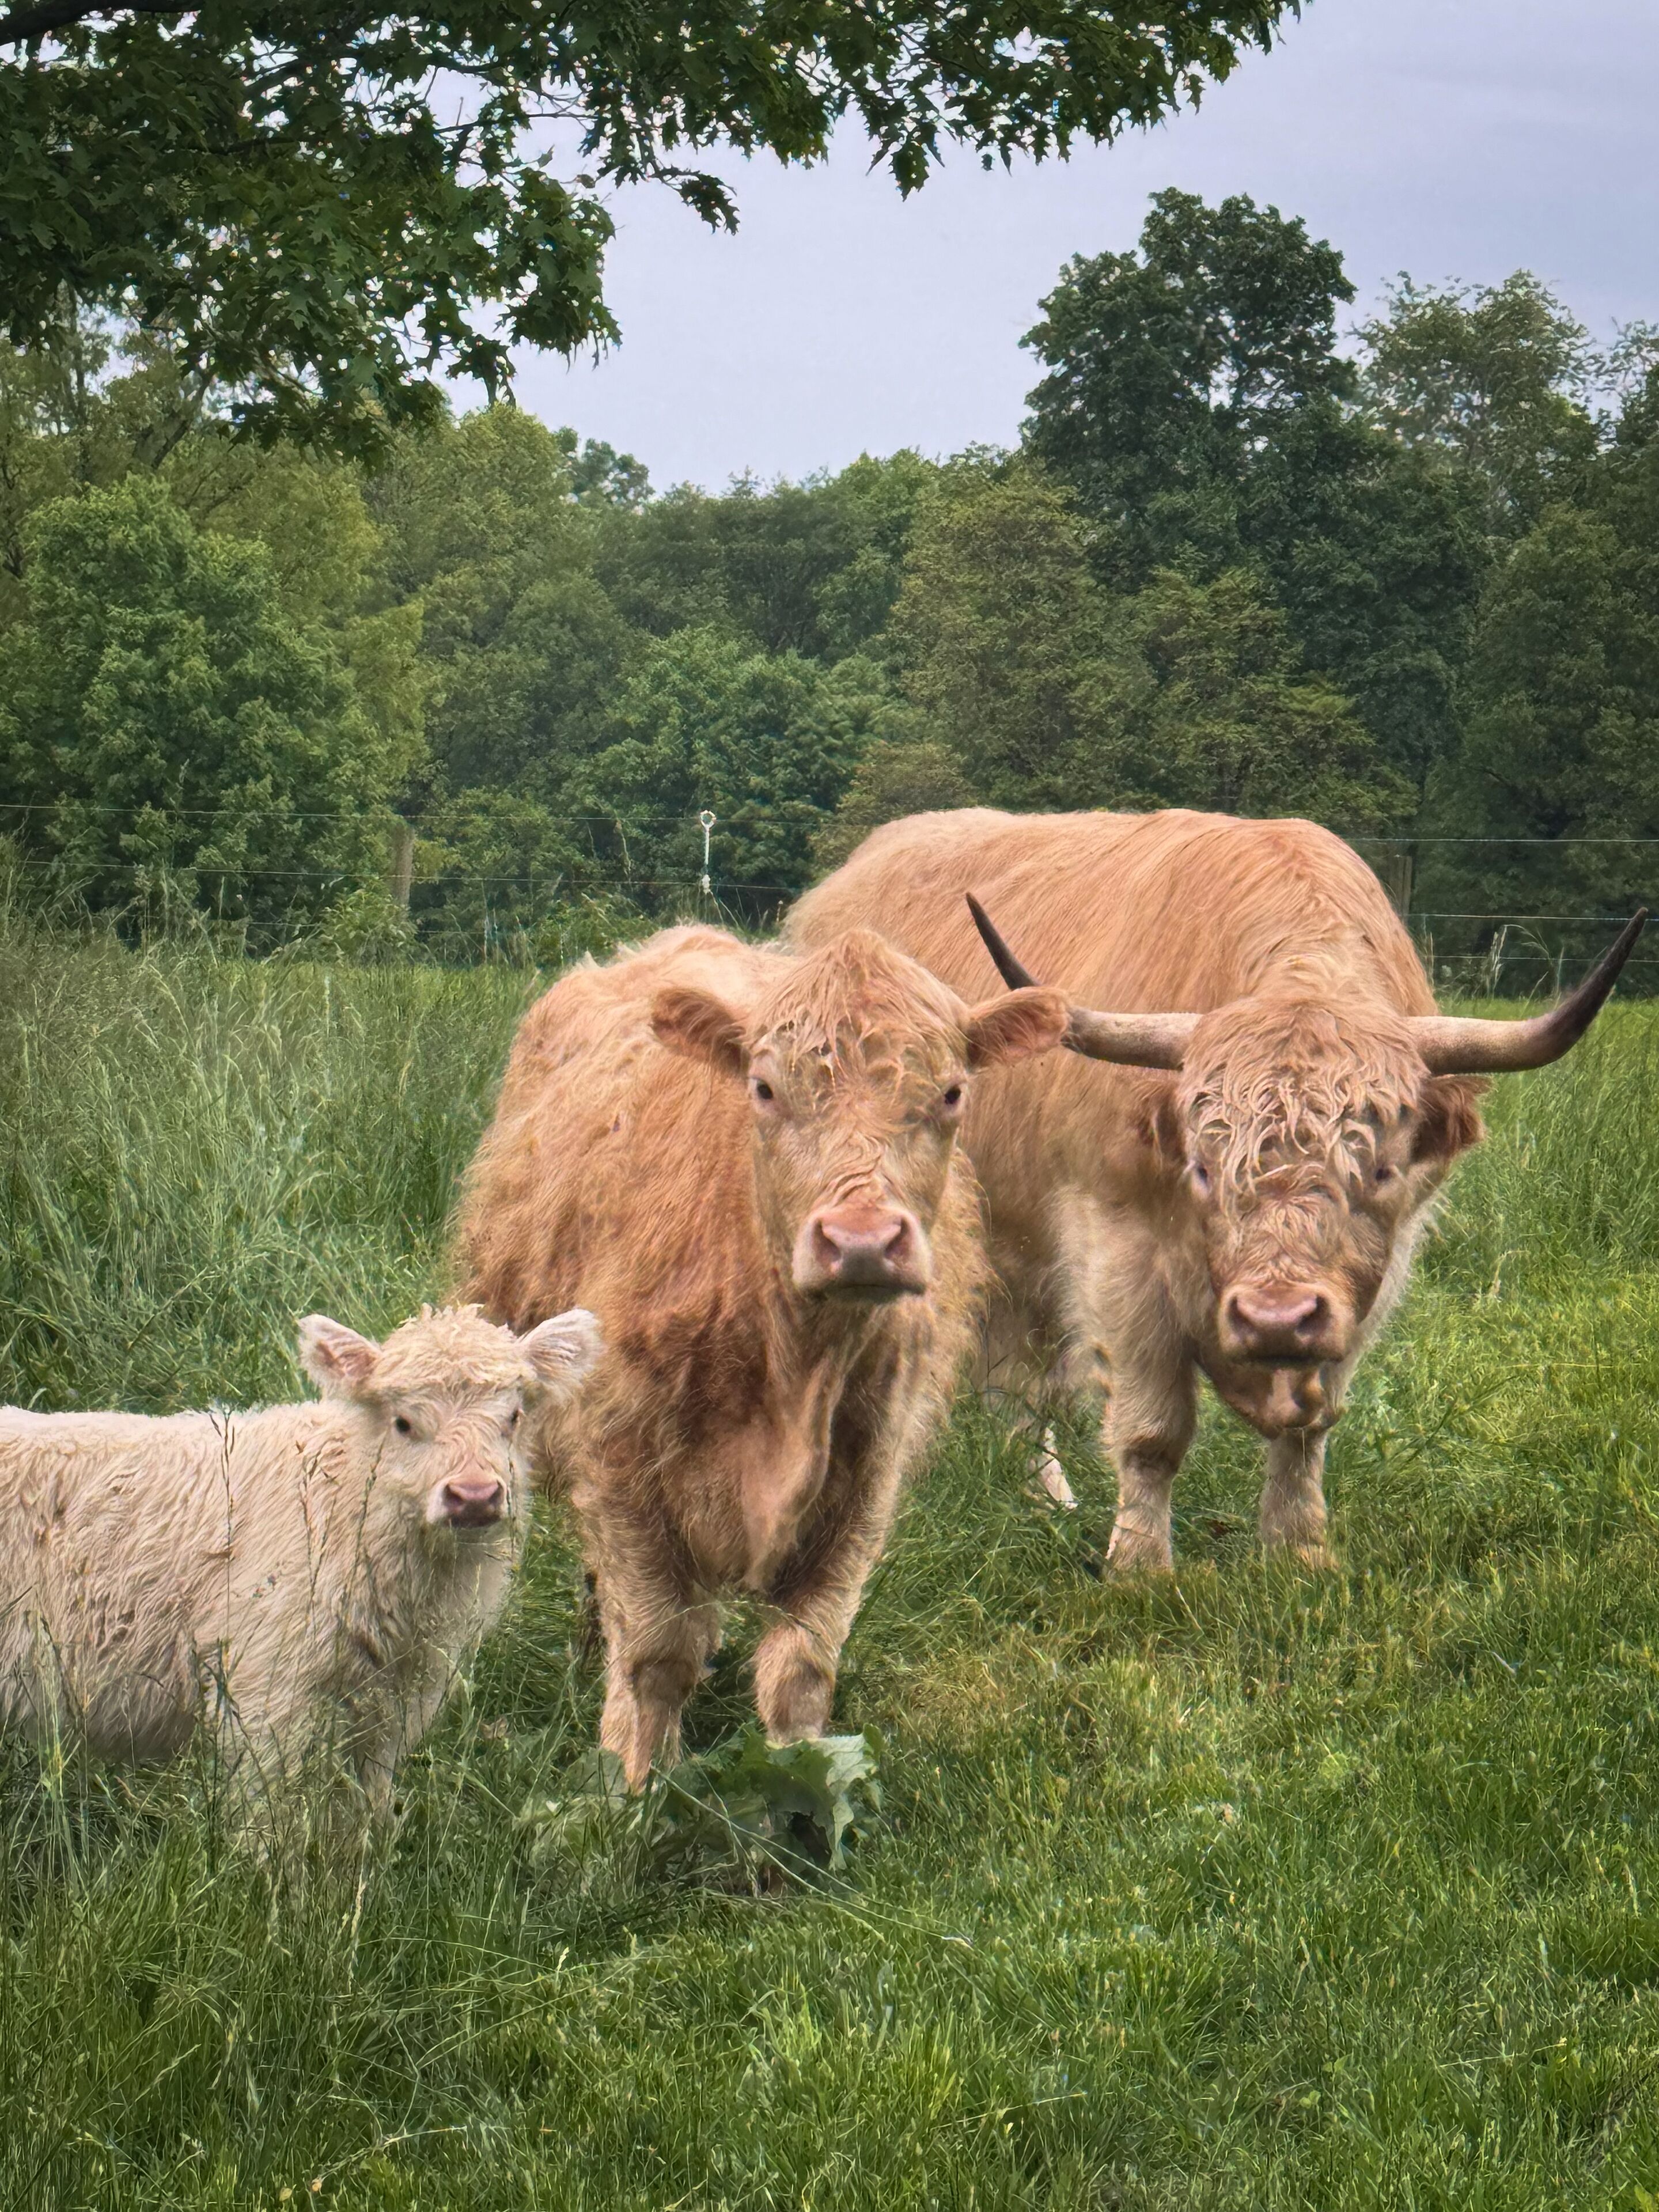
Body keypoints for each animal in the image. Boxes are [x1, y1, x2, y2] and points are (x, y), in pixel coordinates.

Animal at [0, 1304, 601, 1841]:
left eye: (514, 1418)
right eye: (404, 1422)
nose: (474, 1496)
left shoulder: (392, 1703)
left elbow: (360, 1816)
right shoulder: (266, 1690)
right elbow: (274, 1821)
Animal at [458, 924, 1068, 1786]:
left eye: (951, 1094)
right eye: (765, 1089)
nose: (860, 1242)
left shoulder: (866, 1476)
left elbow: (801, 1669)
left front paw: (801, 1789)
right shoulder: (619, 1459)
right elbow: (655, 1654)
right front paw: (637, 1786)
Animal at [791, 809, 1644, 1571]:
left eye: (1381, 1169)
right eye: (1202, 1168)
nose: (1275, 1316)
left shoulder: (1371, 1280)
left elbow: (1310, 1426)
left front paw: (1298, 1553)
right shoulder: (1120, 1252)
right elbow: (1152, 1431)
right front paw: (1139, 1568)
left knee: (1015, 1378)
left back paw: (1043, 1497)